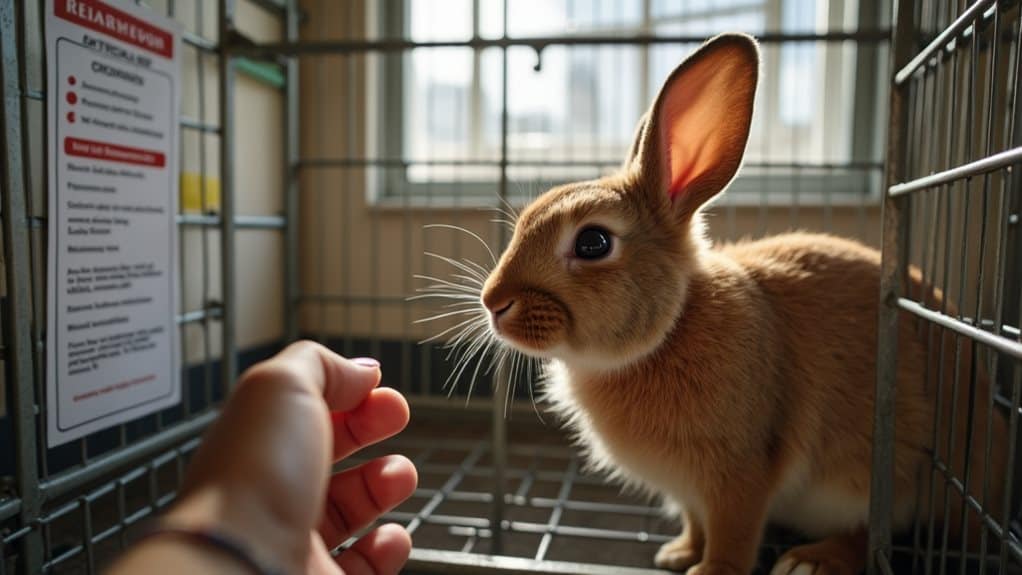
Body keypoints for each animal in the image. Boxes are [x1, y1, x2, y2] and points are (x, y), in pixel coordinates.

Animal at [472, 33, 1009, 574]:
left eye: (593, 243)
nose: (493, 302)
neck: (671, 329)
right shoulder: (689, 491)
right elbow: (697, 523)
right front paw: (678, 554)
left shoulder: (743, 470)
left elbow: (733, 533)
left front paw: (710, 570)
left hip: (888, 479)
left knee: (876, 533)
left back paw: (809, 561)